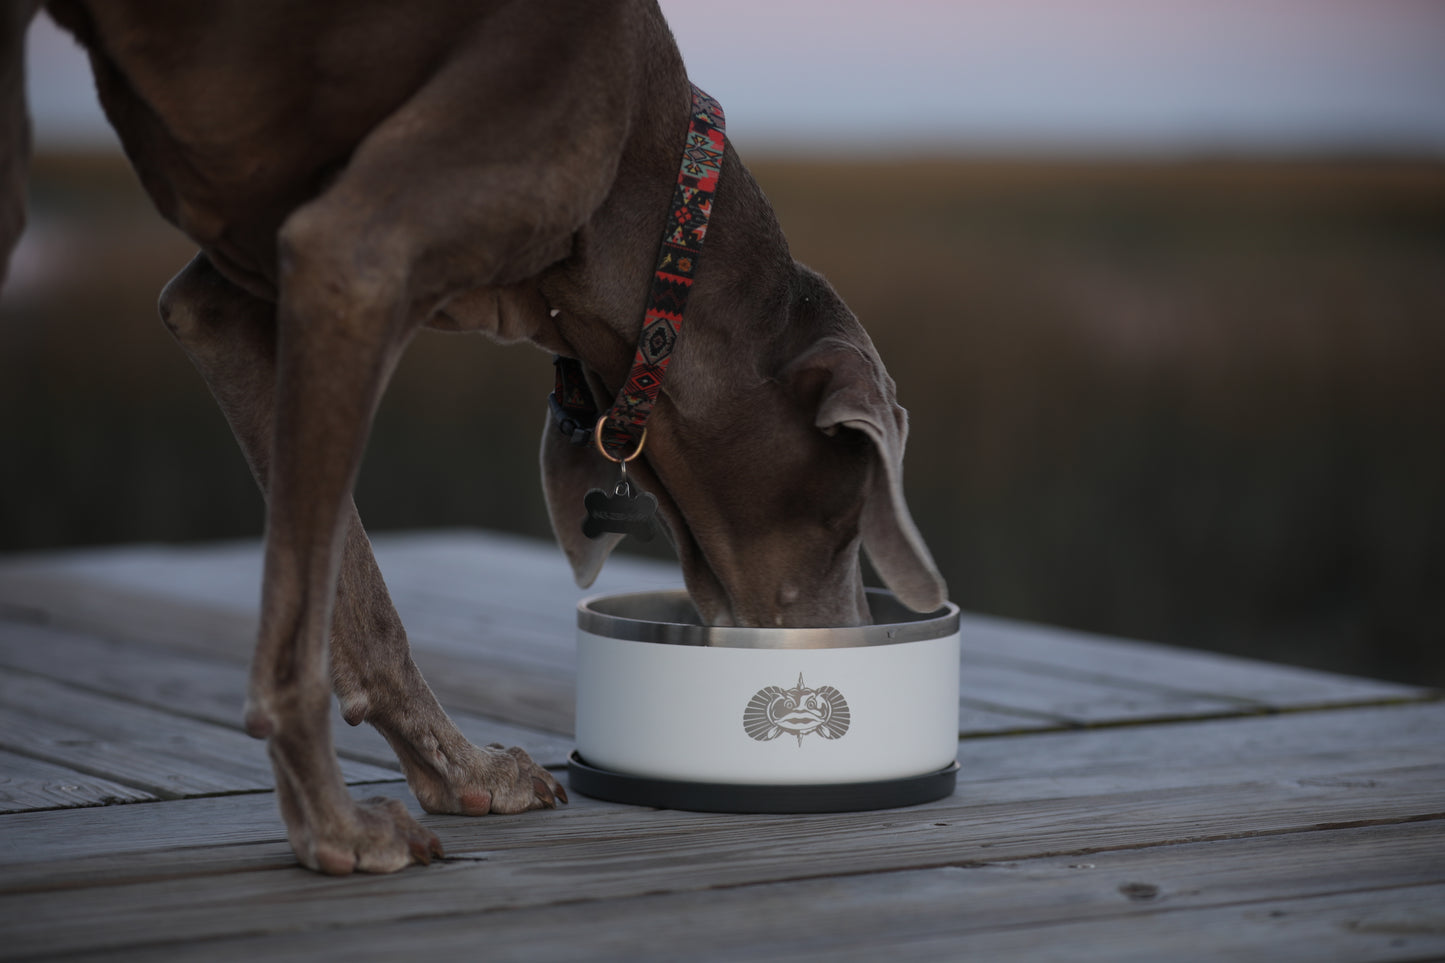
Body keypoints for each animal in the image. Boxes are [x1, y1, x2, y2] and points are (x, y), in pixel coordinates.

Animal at [0, 0, 942, 867]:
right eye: (849, 516)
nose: (855, 631)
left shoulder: (233, 303)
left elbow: (357, 587)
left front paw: (462, 771)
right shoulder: (354, 258)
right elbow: (301, 618)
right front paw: (335, 828)